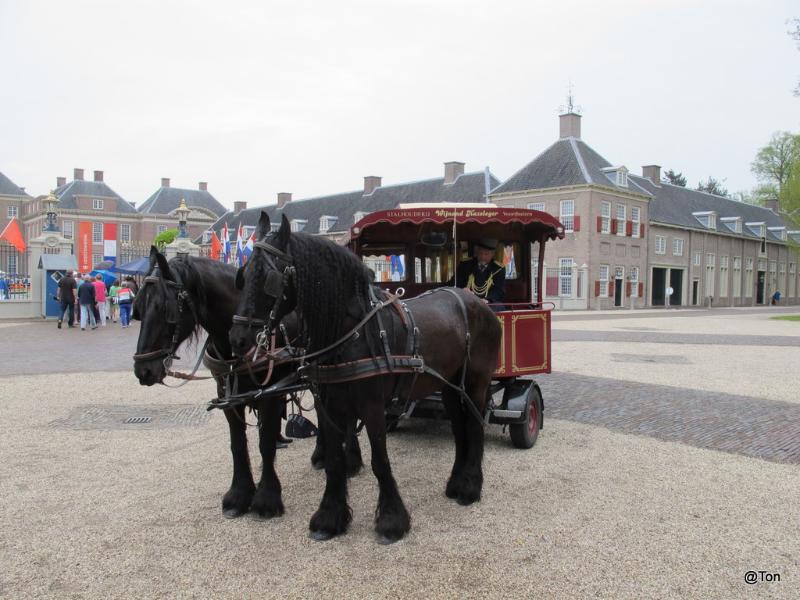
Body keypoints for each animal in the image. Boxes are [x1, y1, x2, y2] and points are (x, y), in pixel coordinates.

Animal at [131, 248, 362, 520]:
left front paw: (267, 498)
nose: (143, 370)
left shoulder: (269, 395)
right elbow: (238, 444)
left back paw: (351, 459)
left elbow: (265, 443)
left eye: (164, 307)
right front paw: (239, 495)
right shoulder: (228, 397)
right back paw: (321, 455)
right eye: (137, 307)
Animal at [228, 212, 500, 544]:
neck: (350, 332)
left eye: (269, 277)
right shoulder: (328, 406)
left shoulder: (372, 407)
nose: (237, 339)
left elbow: (380, 461)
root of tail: (476, 302)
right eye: (242, 275)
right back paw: (456, 484)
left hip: (476, 382)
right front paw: (329, 518)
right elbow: (334, 461)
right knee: (460, 429)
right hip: (449, 385)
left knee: (473, 426)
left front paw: (392, 521)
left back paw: (470, 488)